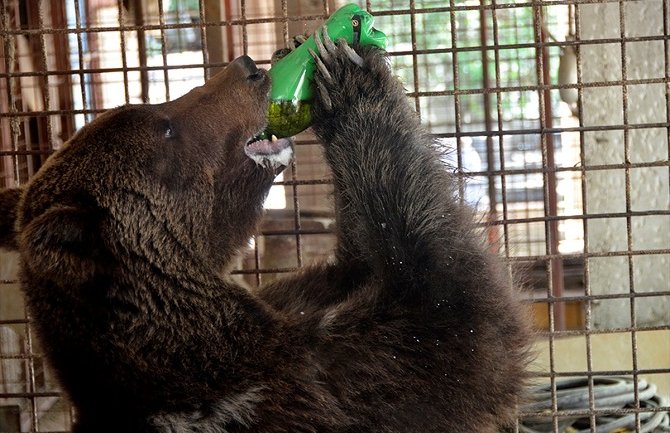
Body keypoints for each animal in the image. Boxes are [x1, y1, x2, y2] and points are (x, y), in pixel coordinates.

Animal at [1, 31, 532, 432]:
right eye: (165, 124)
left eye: (157, 104)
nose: (247, 66)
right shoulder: (301, 383)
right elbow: (458, 315)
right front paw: (350, 82)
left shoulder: (288, 308)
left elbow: (357, 263)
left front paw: (318, 64)